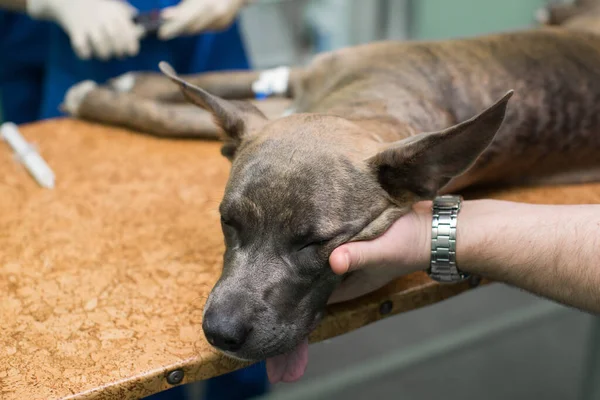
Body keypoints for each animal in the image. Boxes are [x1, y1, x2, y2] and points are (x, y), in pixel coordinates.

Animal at [61, 3, 600, 384]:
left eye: (315, 243)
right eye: (227, 222)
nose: (221, 332)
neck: (366, 102)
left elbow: (177, 114)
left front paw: (95, 95)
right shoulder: (298, 83)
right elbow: (205, 93)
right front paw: (127, 83)